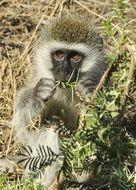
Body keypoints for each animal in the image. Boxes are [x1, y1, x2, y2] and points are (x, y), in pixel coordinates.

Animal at [12, 14, 105, 189]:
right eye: (59, 54)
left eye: (75, 57)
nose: (64, 71)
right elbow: (24, 128)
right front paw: (38, 94)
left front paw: (88, 91)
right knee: (52, 127)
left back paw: (82, 177)